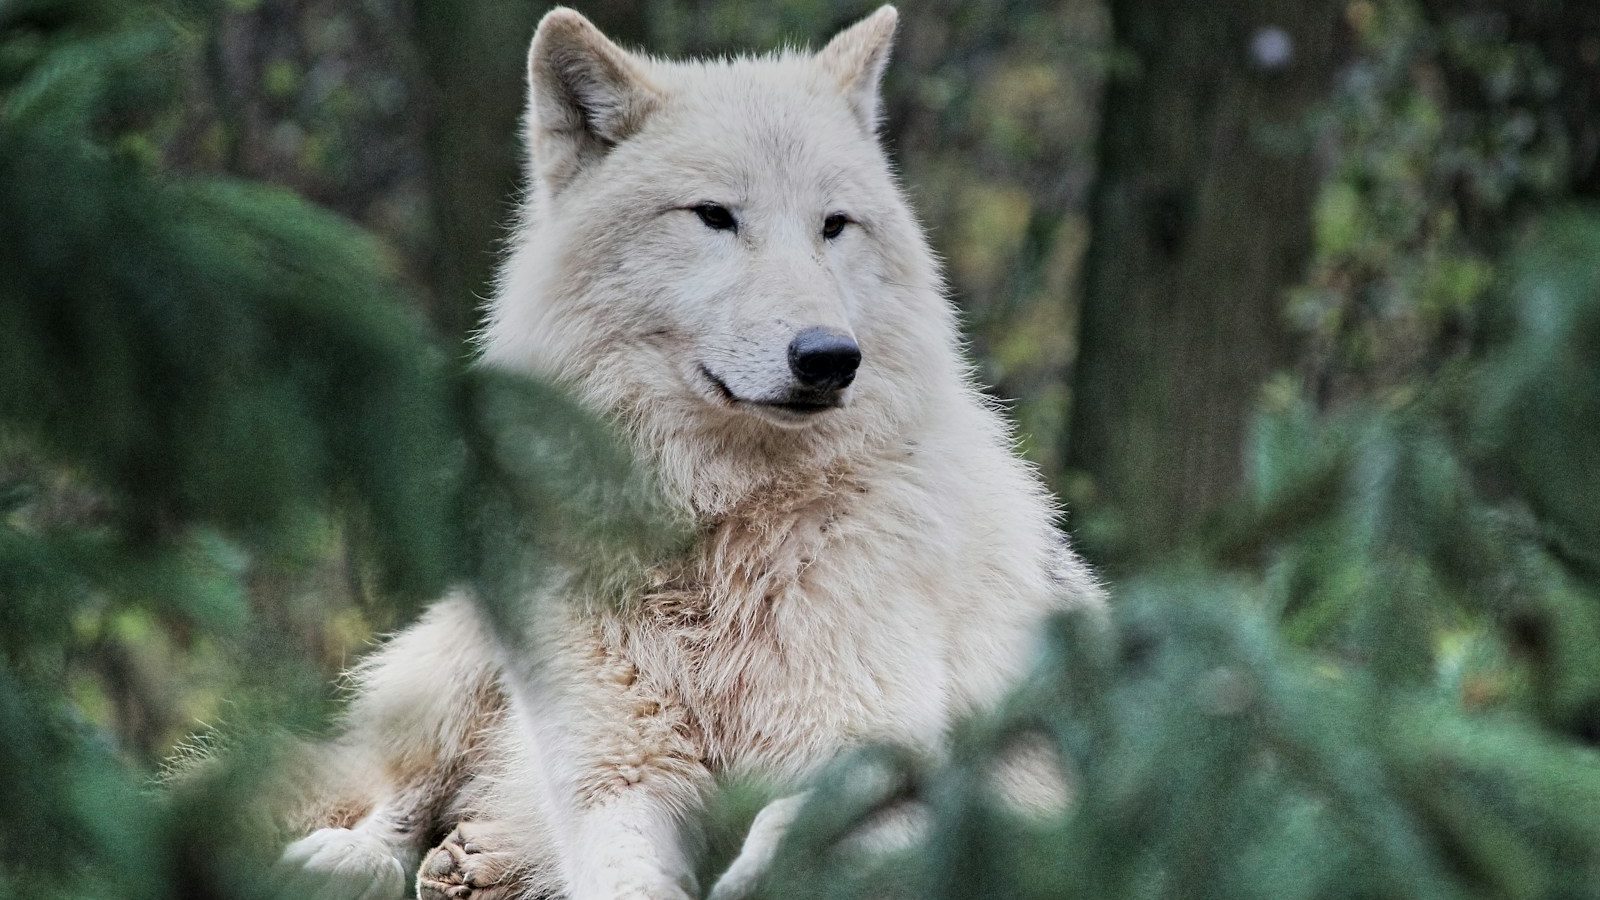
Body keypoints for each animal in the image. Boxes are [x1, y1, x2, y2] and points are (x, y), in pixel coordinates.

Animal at [274, 6, 1101, 899]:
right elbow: (619, 867)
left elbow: (785, 842)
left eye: (833, 226)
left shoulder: (874, 765)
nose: (830, 357)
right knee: (400, 797)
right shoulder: (617, 771)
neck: (715, 534)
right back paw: (365, 859)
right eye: (714, 216)